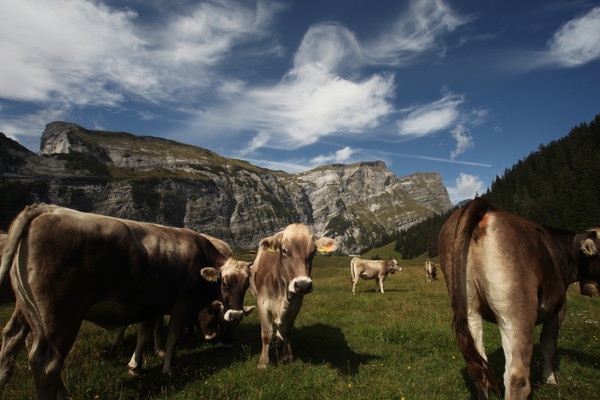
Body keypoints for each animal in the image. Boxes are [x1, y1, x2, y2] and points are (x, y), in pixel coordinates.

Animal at [0, 205, 229, 398]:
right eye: (212, 314)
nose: (214, 337)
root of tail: (46, 209)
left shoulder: (150, 303)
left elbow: (146, 331)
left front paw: (141, 360)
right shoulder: (175, 302)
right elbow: (162, 332)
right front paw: (160, 359)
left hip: (30, 310)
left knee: (14, 337)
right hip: (60, 315)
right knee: (46, 362)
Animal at [251, 223, 340, 368]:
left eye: (313, 252)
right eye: (284, 251)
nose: (303, 285)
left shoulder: (296, 305)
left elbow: (287, 331)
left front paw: (287, 356)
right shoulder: (262, 303)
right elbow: (266, 334)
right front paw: (263, 363)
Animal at [436, 198, 600, 400]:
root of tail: (485, 206)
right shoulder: (558, 306)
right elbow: (548, 344)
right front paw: (550, 379)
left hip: (469, 309)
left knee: (478, 369)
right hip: (515, 310)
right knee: (516, 376)